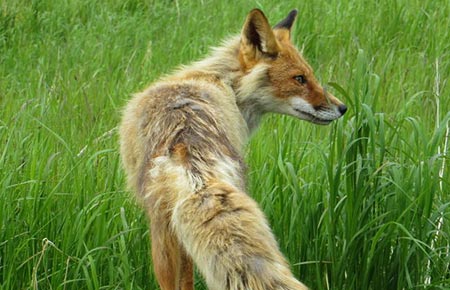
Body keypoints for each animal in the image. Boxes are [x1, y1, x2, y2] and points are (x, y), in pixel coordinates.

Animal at [118, 7, 344, 288]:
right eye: (300, 79)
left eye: (308, 76)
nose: (343, 107)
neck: (223, 84)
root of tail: (186, 145)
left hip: (163, 234)